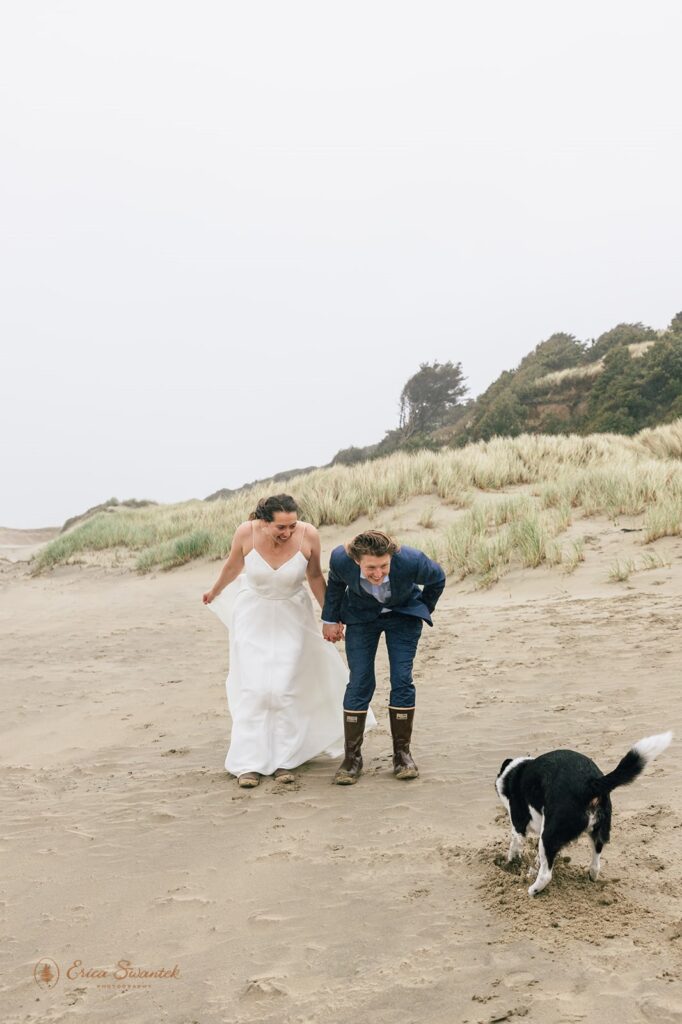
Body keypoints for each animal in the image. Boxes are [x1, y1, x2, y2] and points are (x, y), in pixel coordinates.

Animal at [493, 729, 667, 897]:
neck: (514, 773)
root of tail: (590, 784)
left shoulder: (518, 825)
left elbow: (515, 847)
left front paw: (510, 865)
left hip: (549, 835)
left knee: (546, 874)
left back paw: (533, 890)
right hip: (598, 832)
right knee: (596, 863)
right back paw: (591, 877)